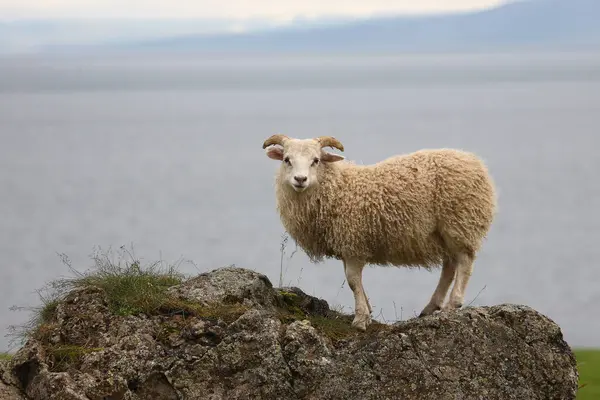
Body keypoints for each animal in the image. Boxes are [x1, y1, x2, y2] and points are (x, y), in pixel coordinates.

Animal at [262, 134, 496, 332]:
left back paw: (452, 304)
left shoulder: (353, 242)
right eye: (287, 160)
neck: (337, 189)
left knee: (464, 262)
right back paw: (432, 306)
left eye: (316, 160)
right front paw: (367, 311)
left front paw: (360, 319)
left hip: (460, 224)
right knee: (449, 265)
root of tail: (475, 163)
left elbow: (352, 280)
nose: (300, 179)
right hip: (445, 232)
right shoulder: (348, 245)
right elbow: (354, 281)